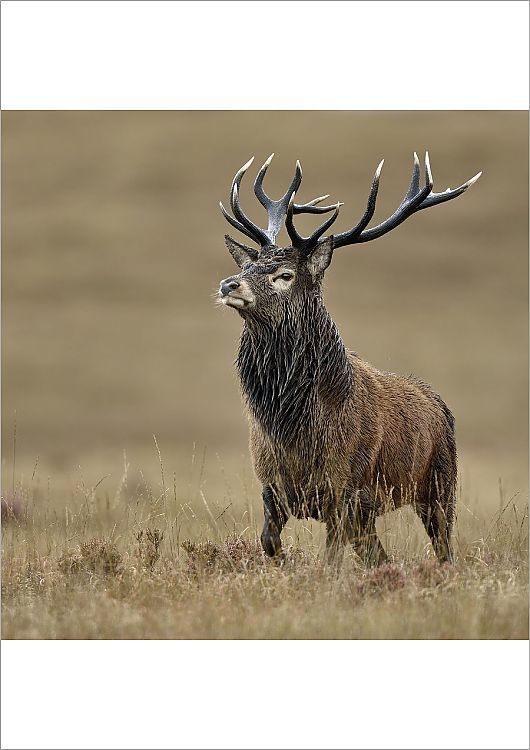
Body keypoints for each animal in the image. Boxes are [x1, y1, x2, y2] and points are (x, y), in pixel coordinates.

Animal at [217, 152, 481, 566]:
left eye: (285, 274)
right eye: (246, 266)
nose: (229, 284)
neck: (294, 430)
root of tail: (439, 403)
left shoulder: (347, 491)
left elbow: (329, 563)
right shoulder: (271, 487)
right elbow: (269, 543)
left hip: (440, 484)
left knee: (444, 549)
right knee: (379, 555)